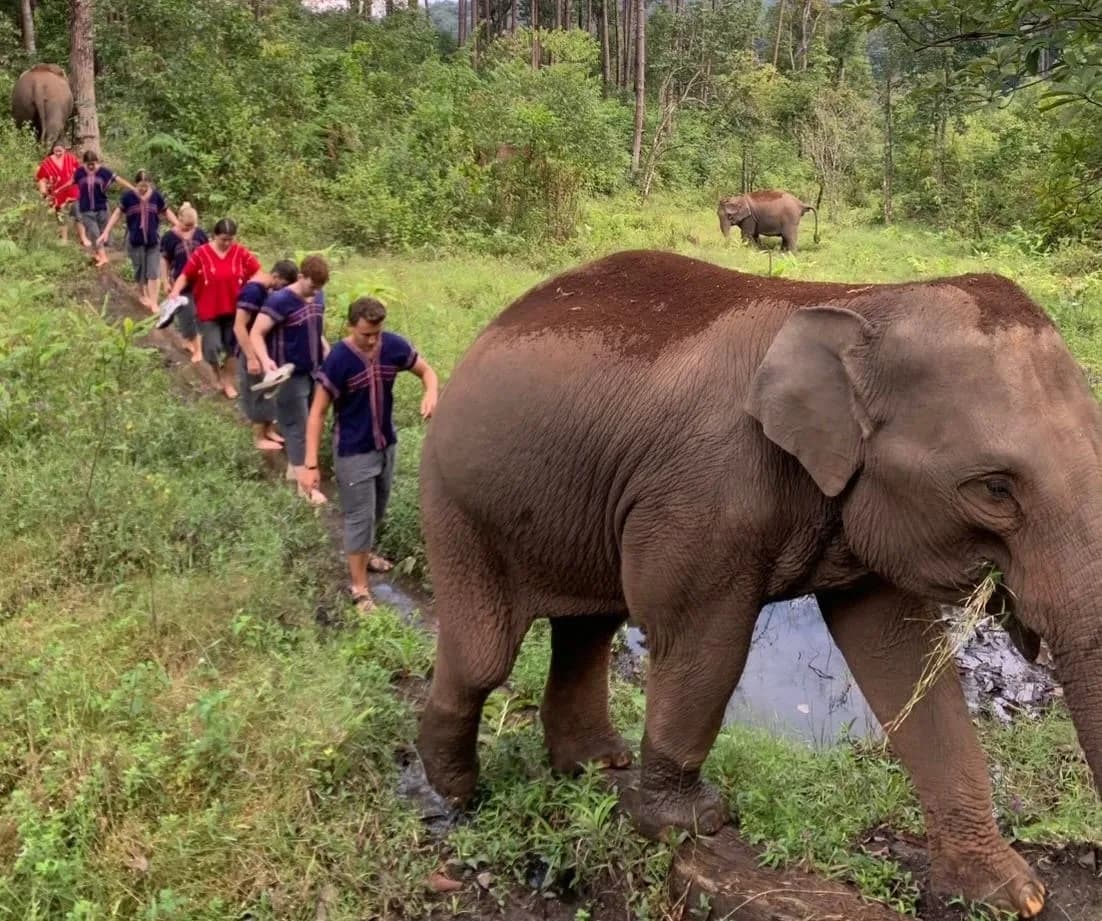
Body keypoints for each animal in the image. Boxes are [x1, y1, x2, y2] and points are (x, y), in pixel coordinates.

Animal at [415, 249, 1102, 919]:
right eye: (996, 489)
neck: (863, 301)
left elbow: (903, 662)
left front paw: (1012, 896)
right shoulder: (705, 494)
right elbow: (704, 645)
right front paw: (688, 824)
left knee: (588, 627)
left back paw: (593, 764)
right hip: (456, 499)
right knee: (485, 655)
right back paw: (457, 791)